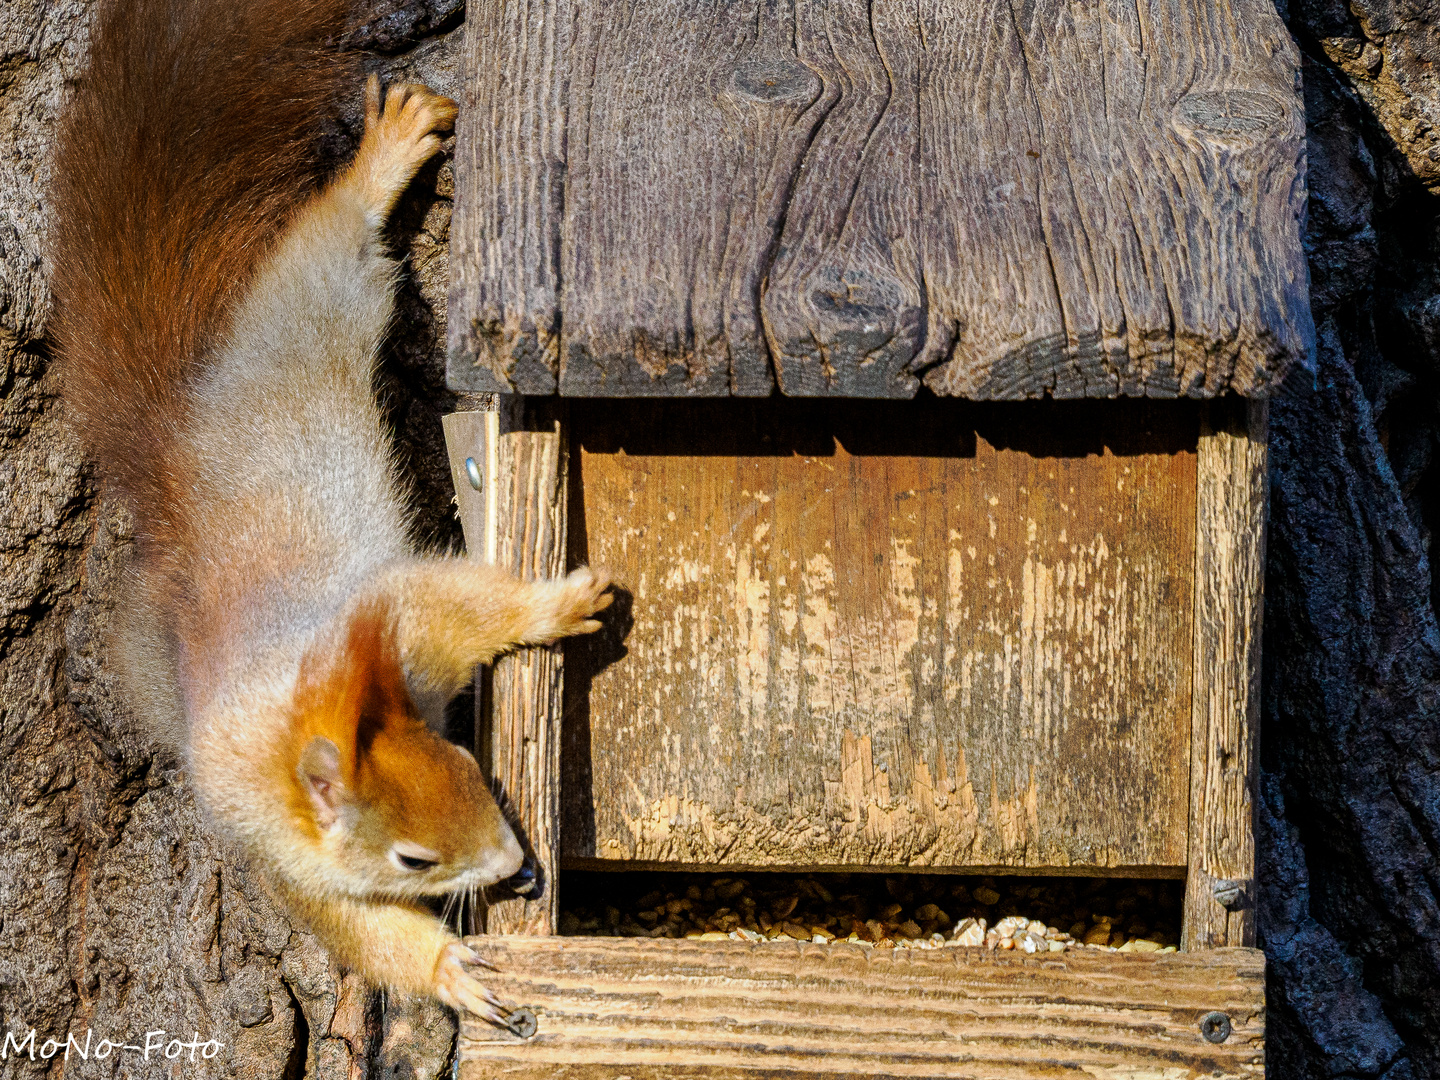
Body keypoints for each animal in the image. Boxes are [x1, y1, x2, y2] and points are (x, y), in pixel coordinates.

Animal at [49, 0, 607, 1025]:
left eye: (468, 762)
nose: (517, 868)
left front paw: (553, 607)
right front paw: (455, 975)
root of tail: (178, 457)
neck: (303, 730)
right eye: (413, 859)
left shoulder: (394, 626)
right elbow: (358, 929)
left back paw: (380, 162)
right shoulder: (281, 856)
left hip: (297, 330)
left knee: (326, 253)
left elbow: (463, 606)